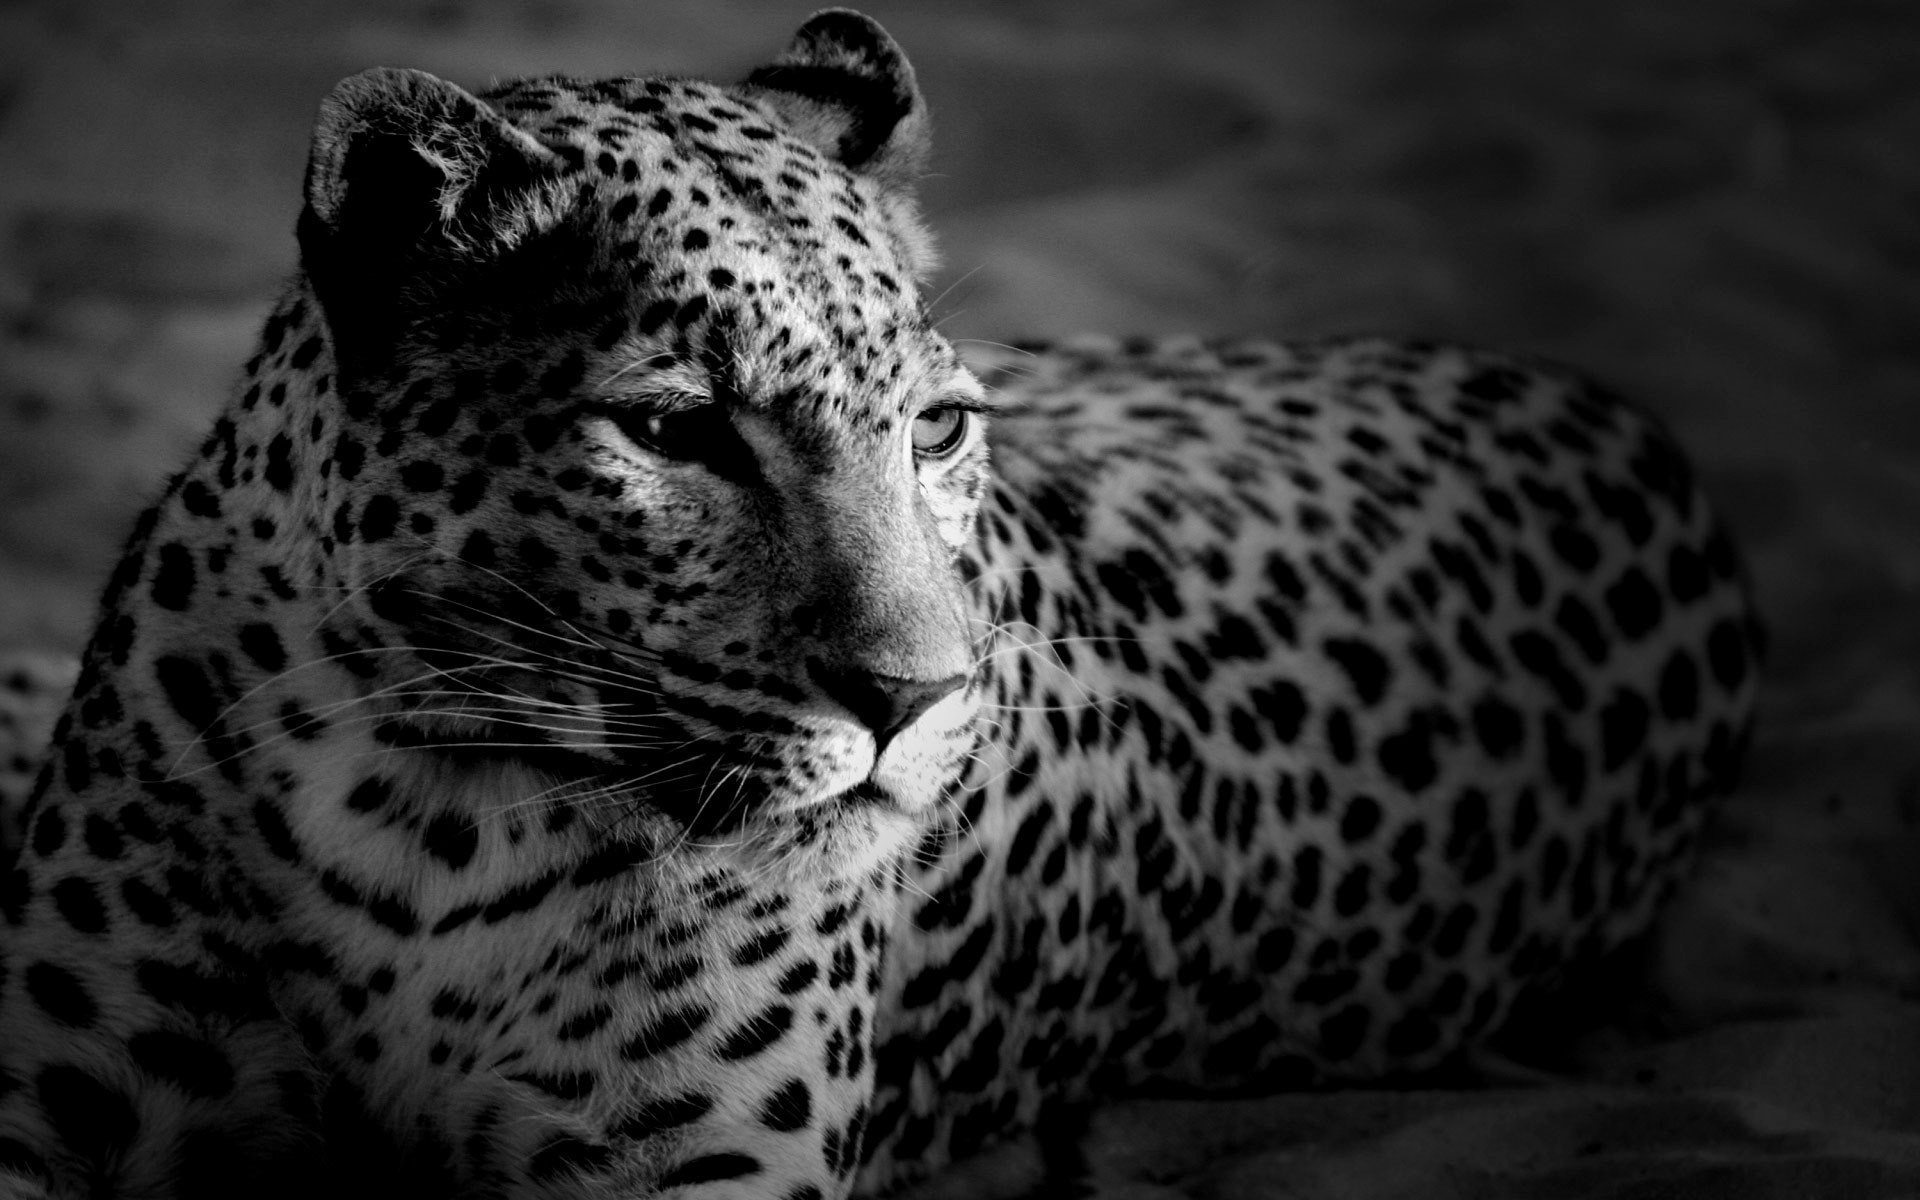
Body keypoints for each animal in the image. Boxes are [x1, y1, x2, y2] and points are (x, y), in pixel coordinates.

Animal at [0, 9, 1762, 1199]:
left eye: (937, 427)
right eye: (675, 433)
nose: (916, 704)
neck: (426, 811)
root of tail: (1617, 416)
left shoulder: (691, 1172)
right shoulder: (50, 1091)